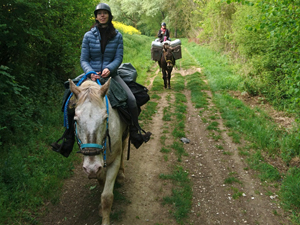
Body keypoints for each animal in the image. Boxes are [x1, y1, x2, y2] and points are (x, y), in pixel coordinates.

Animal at [69, 78, 127, 225]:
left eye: (105, 118)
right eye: (75, 120)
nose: (92, 168)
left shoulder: (114, 161)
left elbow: (106, 197)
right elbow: (101, 182)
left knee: (123, 148)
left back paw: (121, 174)